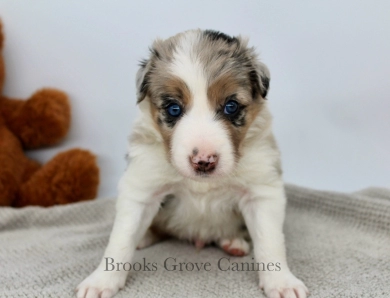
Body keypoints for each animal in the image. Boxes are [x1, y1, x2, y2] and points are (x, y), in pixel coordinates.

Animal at [75, 28, 308, 298]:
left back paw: (232, 241)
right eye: (174, 109)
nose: (203, 161)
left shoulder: (261, 191)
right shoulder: (141, 186)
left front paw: (281, 282)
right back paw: (144, 238)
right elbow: (121, 238)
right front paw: (102, 280)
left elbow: (270, 241)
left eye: (231, 106)